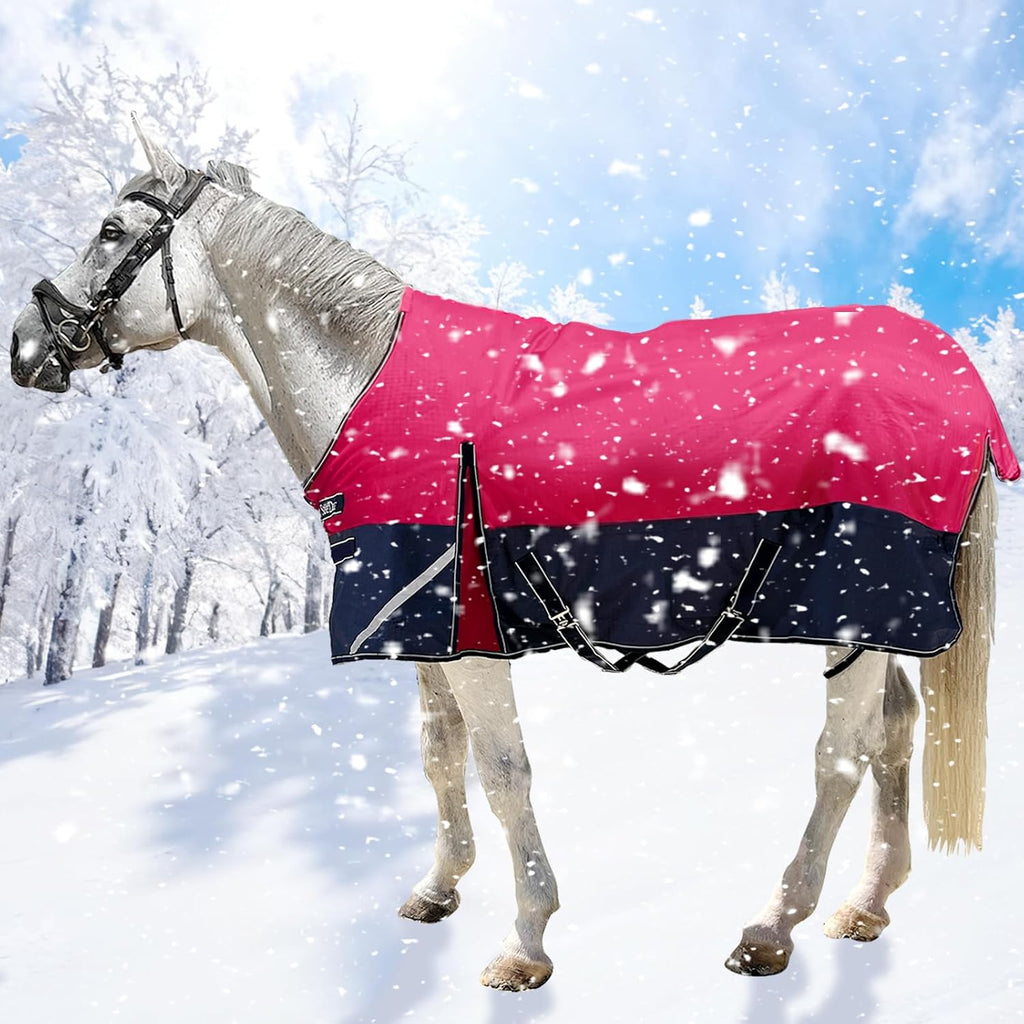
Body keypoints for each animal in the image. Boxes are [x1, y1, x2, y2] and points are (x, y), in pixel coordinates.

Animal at [10, 120, 1017, 991]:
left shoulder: (471, 634)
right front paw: (438, 887)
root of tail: (954, 370)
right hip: (878, 618)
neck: (373, 383)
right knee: (896, 734)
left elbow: (502, 772)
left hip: (851, 607)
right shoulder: (418, 623)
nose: (25, 347)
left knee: (841, 756)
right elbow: (440, 753)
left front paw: (527, 939)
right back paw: (867, 904)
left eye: (111, 230)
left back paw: (773, 926)